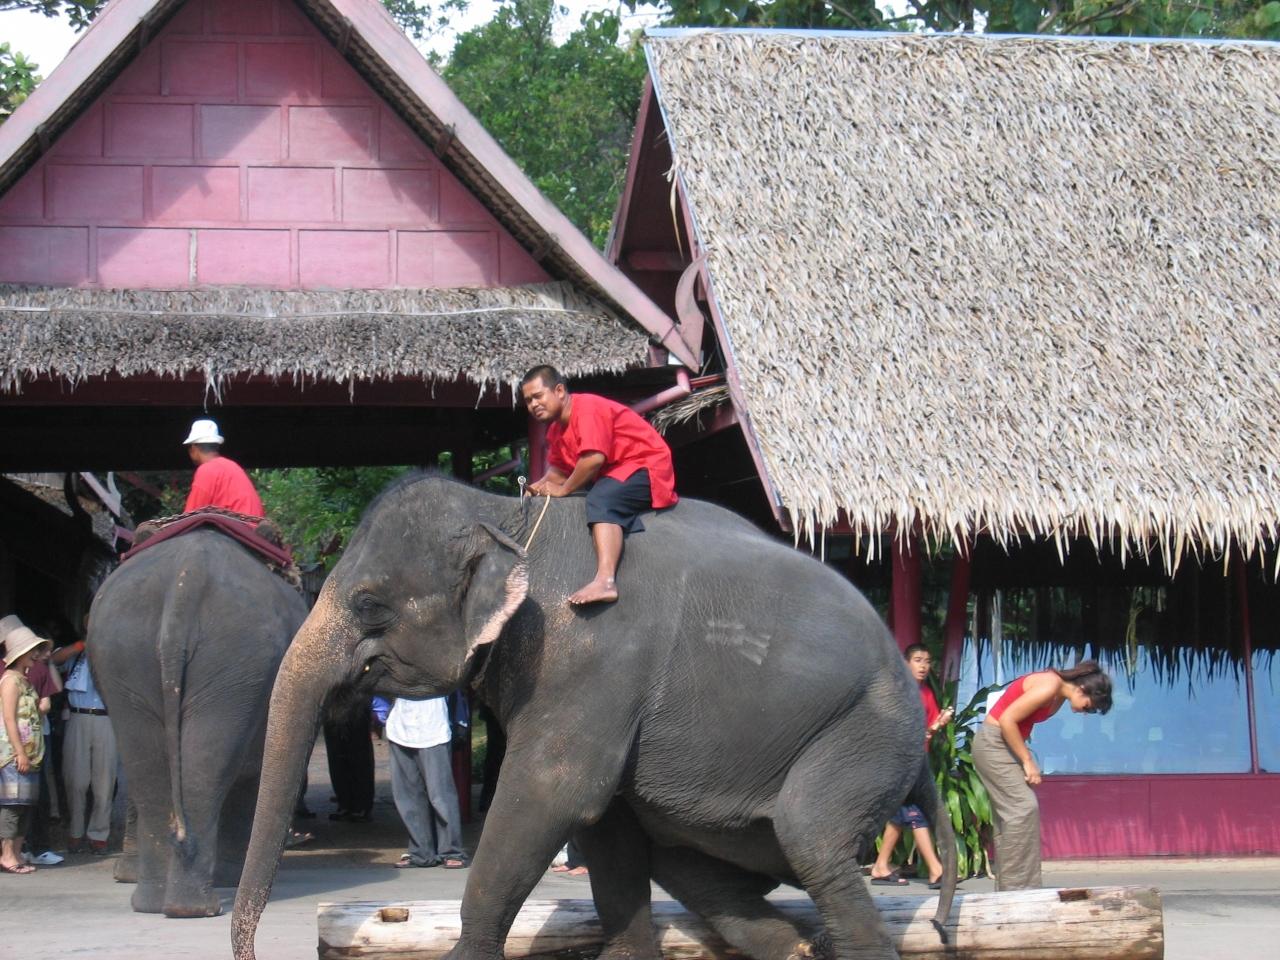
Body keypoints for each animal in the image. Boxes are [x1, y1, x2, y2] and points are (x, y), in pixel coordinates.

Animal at [89, 527, 308, 917]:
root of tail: (186, 580)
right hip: (232, 661)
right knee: (206, 768)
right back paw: (197, 904)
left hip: (130, 654)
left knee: (149, 767)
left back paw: (162, 903)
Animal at [232, 474, 954, 960]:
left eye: (369, 605)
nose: (249, 948)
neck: (506, 516)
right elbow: (607, 827)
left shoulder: (593, 659)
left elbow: (552, 794)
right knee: (691, 867)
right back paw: (798, 948)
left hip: (863, 735)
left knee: (814, 844)